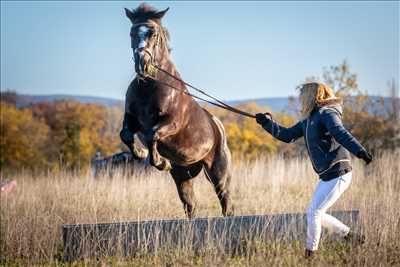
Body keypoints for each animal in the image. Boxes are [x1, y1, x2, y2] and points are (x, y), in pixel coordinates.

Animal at [121, 2, 234, 220]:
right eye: (132, 33)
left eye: (153, 33)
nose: (142, 64)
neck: (149, 85)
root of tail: (218, 125)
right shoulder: (131, 119)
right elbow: (126, 135)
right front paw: (140, 153)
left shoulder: (171, 123)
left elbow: (152, 134)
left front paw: (161, 162)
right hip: (183, 176)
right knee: (190, 206)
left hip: (218, 174)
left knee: (226, 203)